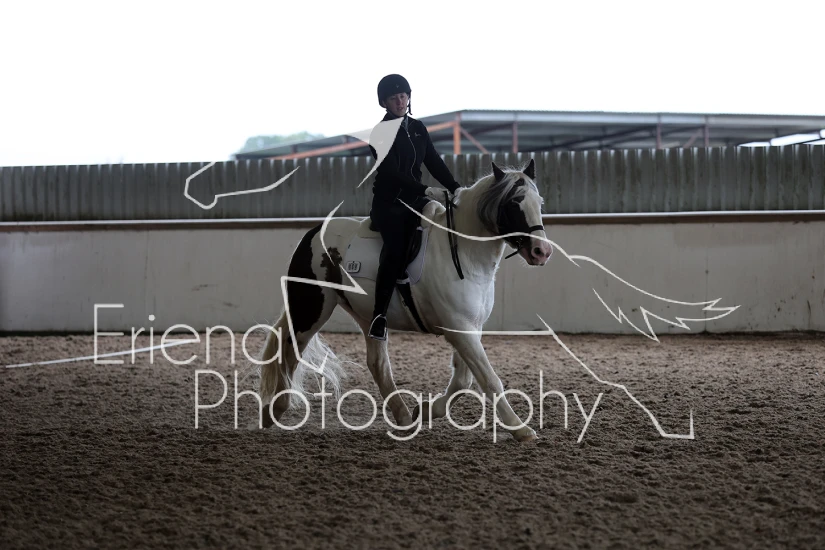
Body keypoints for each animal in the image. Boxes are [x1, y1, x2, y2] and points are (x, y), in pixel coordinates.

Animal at [254, 158, 552, 441]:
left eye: (539, 203)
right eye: (514, 204)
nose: (542, 252)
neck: (465, 253)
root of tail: (313, 233)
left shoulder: (469, 327)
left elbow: (463, 380)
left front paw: (427, 410)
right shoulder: (459, 329)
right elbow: (488, 379)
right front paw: (520, 429)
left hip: (369, 316)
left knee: (377, 364)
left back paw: (405, 418)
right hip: (312, 309)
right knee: (291, 348)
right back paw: (274, 411)